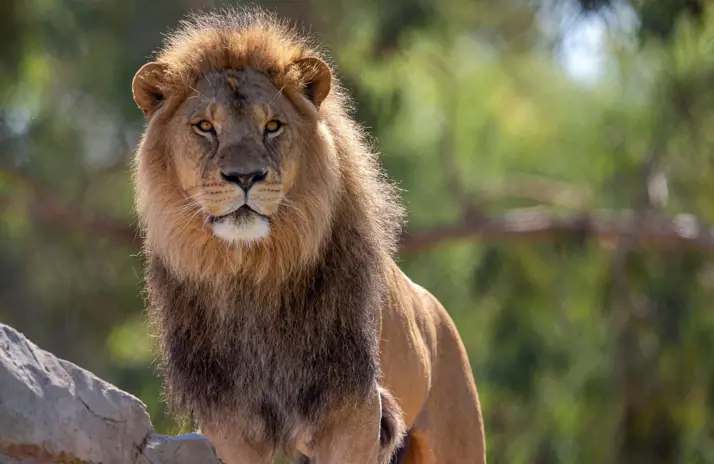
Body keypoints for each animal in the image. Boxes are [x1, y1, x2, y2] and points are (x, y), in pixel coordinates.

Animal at [131, 8, 486, 464]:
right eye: (205, 126)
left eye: (273, 126)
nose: (245, 176)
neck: (252, 274)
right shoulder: (228, 419)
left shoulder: (355, 408)